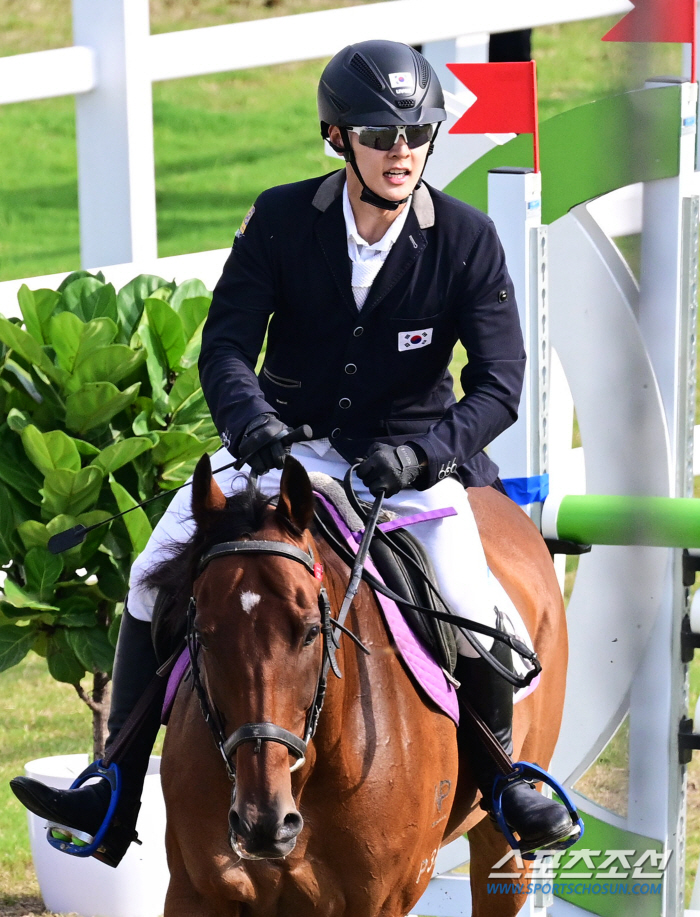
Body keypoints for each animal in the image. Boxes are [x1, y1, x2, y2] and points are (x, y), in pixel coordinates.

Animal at [154, 452, 568, 916]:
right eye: (201, 635)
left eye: (312, 632)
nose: (263, 823)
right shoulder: (196, 894)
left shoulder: (381, 902)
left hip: (505, 852)